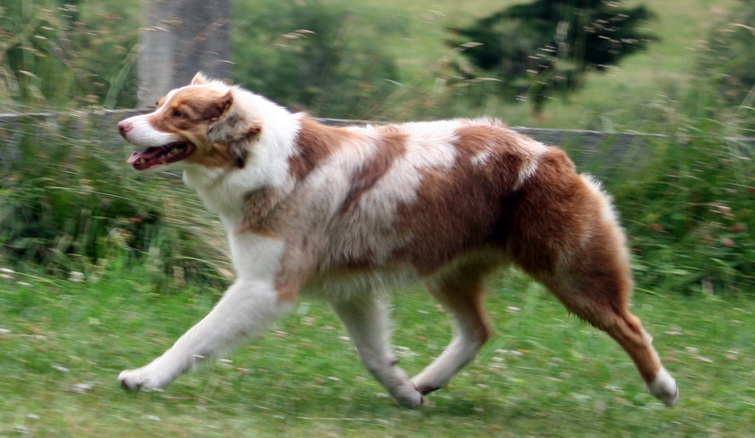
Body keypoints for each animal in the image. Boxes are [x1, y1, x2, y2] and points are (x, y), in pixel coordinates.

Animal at [116, 73, 680, 408]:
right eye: (159, 105)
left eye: (178, 115)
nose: (122, 124)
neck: (261, 161)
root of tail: (546, 151)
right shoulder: (349, 289)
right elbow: (373, 354)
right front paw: (406, 394)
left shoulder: (264, 287)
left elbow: (195, 337)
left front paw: (145, 377)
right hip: (450, 271)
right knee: (478, 331)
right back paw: (429, 379)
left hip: (571, 271)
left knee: (631, 327)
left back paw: (665, 388)